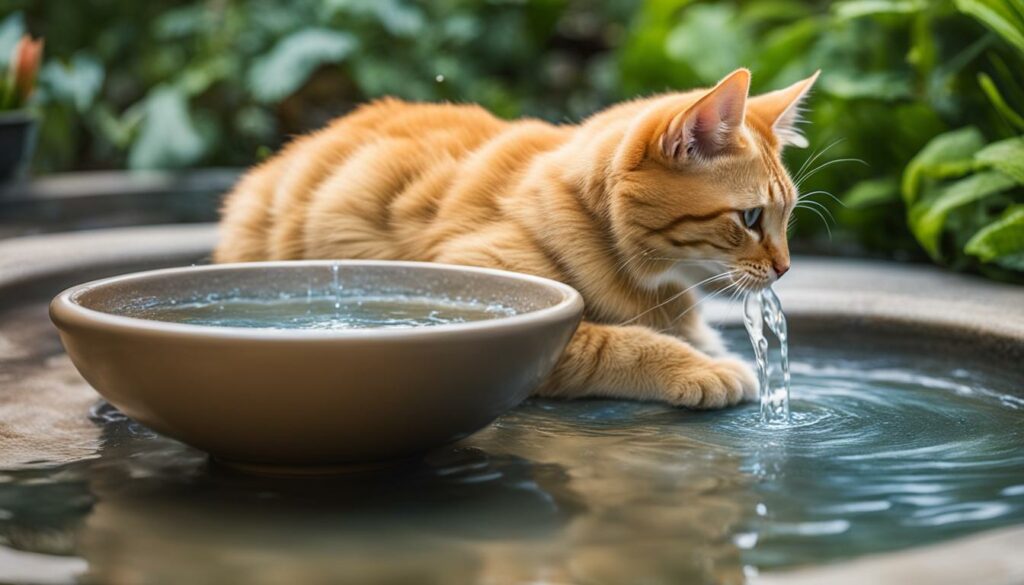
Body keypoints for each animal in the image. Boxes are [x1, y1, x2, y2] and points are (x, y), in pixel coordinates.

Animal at [220, 67, 819, 407]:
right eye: (750, 218)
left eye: (787, 215)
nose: (786, 268)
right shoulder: (494, 305)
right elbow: (616, 340)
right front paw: (704, 367)